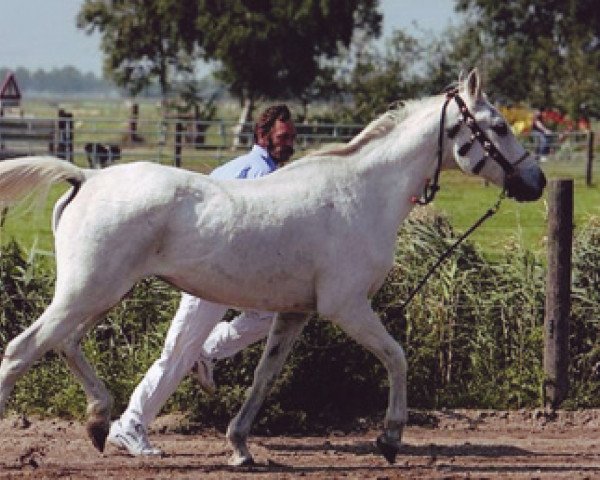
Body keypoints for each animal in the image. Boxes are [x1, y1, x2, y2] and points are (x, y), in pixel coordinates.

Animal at [0, 70, 544, 464]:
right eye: (498, 126)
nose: (535, 182)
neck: (362, 195)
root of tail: (85, 177)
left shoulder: (295, 313)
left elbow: (265, 376)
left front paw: (240, 447)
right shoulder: (347, 307)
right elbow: (396, 357)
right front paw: (389, 440)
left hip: (99, 294)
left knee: (65, 344)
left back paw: (99, 424)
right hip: (87, 292)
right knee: (22, 350)